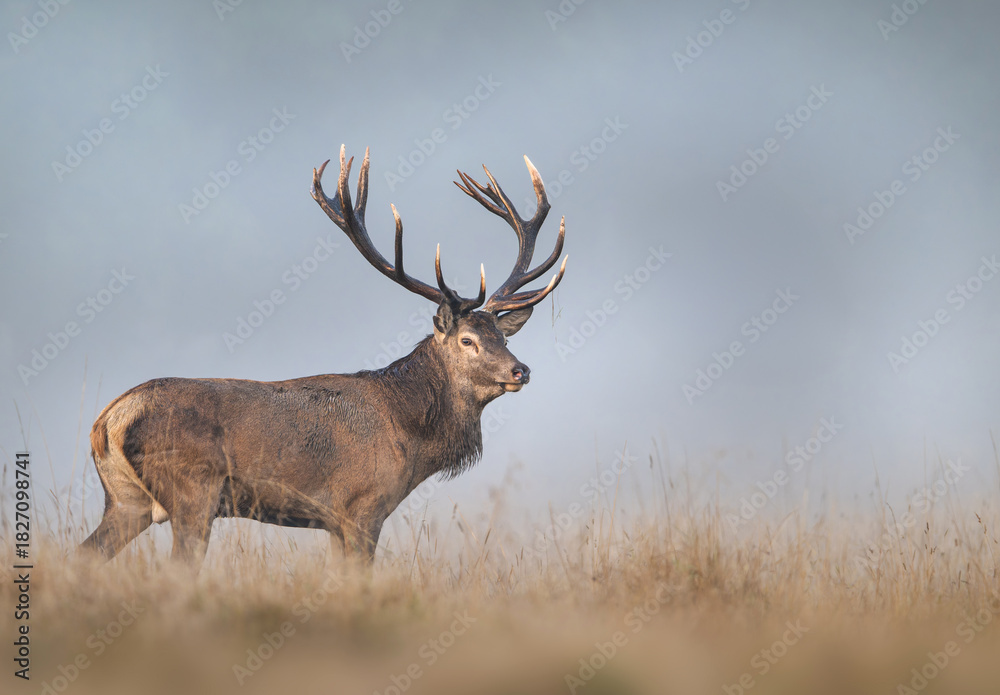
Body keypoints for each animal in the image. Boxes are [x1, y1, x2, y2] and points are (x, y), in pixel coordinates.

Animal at [79, 145, 567, 570]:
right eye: (467, 340)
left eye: (501, 336)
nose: (520, 370)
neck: (409, 436)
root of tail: (107, 421)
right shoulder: (361, 507)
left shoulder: (333, 522)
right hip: (192, 491)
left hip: (126, 500)